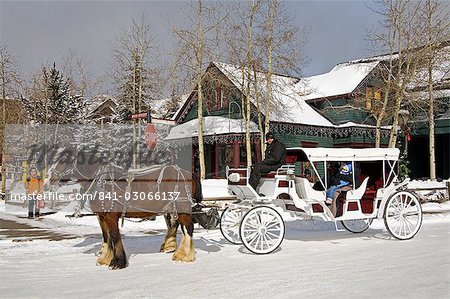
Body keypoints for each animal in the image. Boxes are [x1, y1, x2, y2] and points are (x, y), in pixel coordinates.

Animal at [46, 158, 201, 270]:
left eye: (63, 159)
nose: (48, 180)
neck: (101, 182)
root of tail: (189, 173)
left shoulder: (111, 216)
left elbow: (115, 236)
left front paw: (118, 262)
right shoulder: (102, 217)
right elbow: (106, 237)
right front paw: (104, 258)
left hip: (181, 206)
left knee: (188, 227)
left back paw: (184, 255)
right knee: (178, 226)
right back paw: (175, 249)